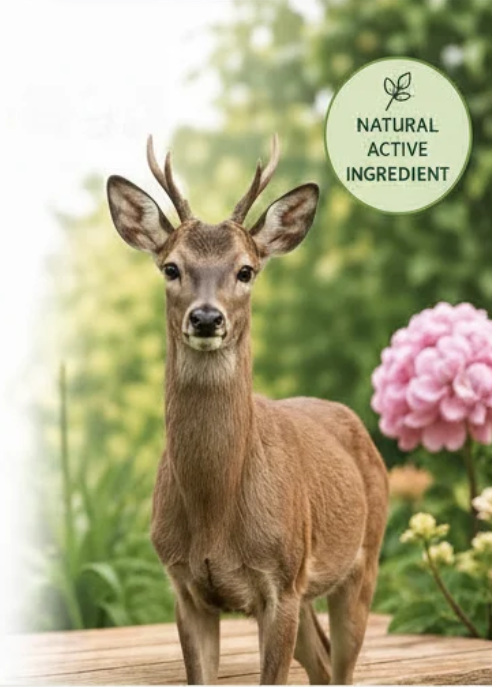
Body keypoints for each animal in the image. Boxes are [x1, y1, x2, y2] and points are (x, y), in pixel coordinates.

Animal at [106, 134, 388, 685]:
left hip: (362, 559)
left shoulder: (280, 580)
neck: (216, 515)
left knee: (342, 666)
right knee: (321, 663)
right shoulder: (185, 587)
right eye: (171, 267)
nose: (206, 317)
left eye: (246, 270)